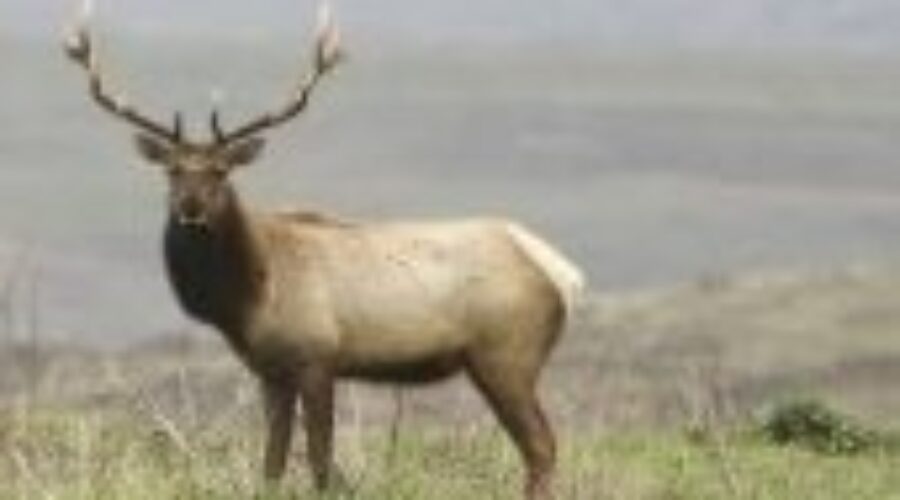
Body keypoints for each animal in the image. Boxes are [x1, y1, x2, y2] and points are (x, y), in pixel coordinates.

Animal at [64, 3, 585, 499]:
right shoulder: (271, 370)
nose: (191, 210)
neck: (251, 295)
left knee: (542, 447)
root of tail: (561, 272)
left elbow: (319, 460)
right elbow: (272, 462)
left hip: (507, 355)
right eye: (171, 170)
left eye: (221, 172)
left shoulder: (318, 357)